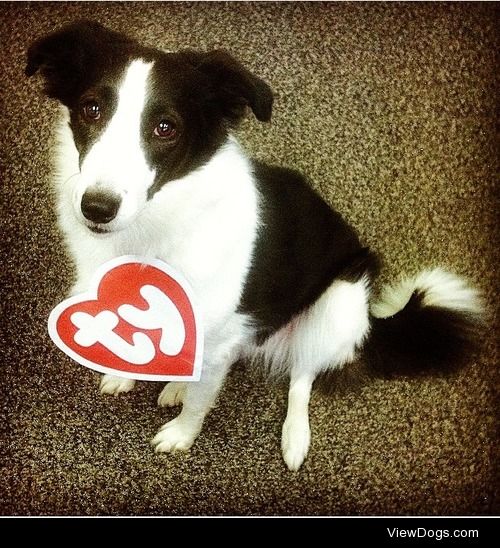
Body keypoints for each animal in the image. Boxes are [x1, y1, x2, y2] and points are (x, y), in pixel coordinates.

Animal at [25, 21, 482, 470]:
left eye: (165, 128)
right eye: (91, 109)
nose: (97, 208)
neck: (160, 224)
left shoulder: (220, 342)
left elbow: (198, 405)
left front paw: (181, 435)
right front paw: (128, 372)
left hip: (336, 308)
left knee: (302, 375)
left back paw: (294, 436)